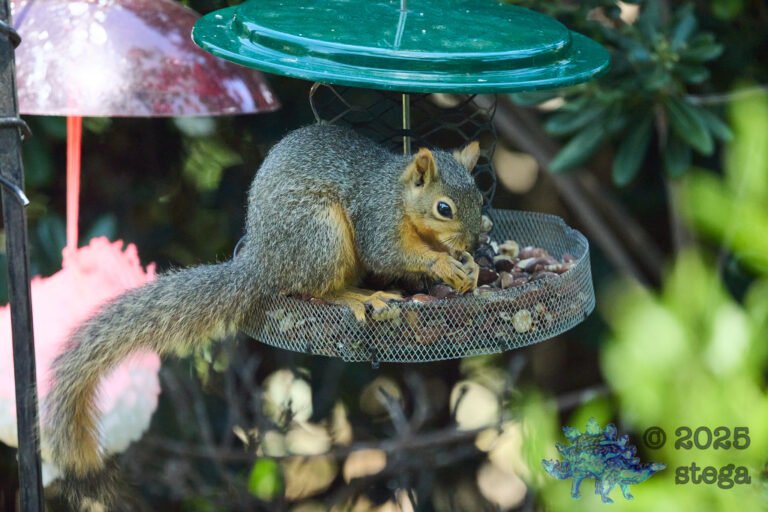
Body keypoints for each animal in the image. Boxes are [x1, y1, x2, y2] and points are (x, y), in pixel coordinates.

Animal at [45, 123, 484, 508]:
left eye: (481, 199)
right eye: (444, 208)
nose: (475, 241)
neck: (399, 195)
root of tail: (264, 263)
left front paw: (470, 267)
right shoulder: (378, 219)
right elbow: (388, 253)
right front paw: (443, 263)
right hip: (320, 235)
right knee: (320, 289)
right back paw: (360, 297)